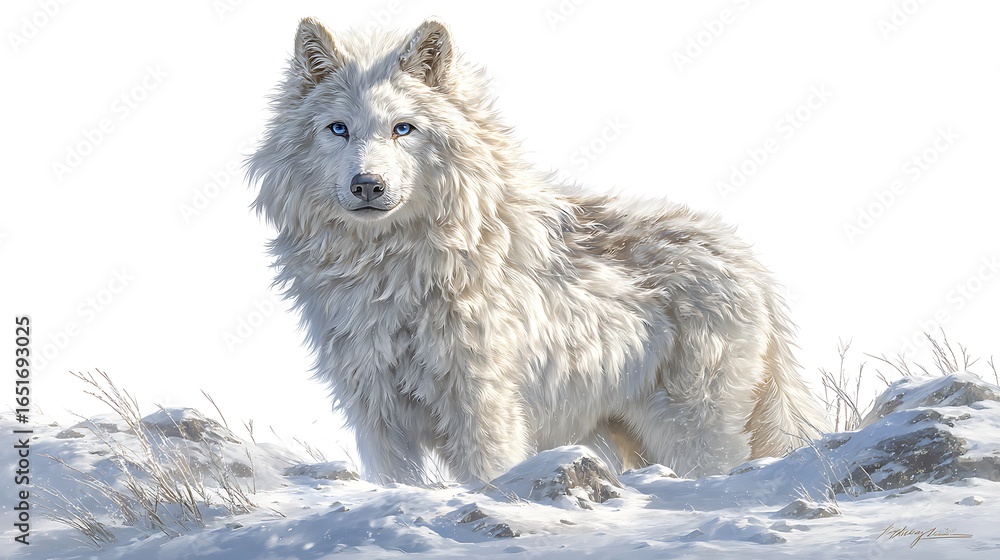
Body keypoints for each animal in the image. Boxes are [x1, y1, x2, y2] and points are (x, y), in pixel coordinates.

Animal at [248, 17, 829, 484]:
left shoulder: (484, 408)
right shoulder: (376, 416)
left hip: (692, 430)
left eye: (403, 129)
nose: (368, 185)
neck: (390, 270)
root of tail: (748, 258)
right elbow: (396, 484)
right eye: (338, 129)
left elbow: (488, 476)